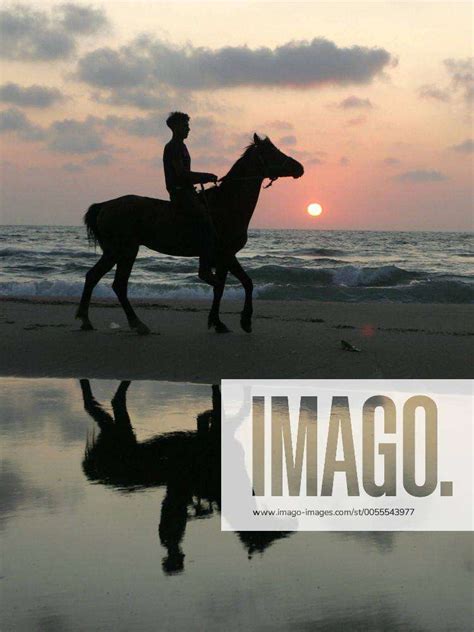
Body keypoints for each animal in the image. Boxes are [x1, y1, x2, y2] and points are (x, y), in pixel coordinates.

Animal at [75, 135, 302, 336]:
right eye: (271, 151)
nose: (299, 167)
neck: (227, 205)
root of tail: (105, 206)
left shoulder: (223, 259)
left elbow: (221, 288)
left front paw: (217, 322)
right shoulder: (226, 254)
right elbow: (244, 283)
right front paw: (244, 321)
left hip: (117, 252)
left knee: (97, 278)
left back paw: (88, 320)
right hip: (124, 251)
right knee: (116, 284)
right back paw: (135, 324)